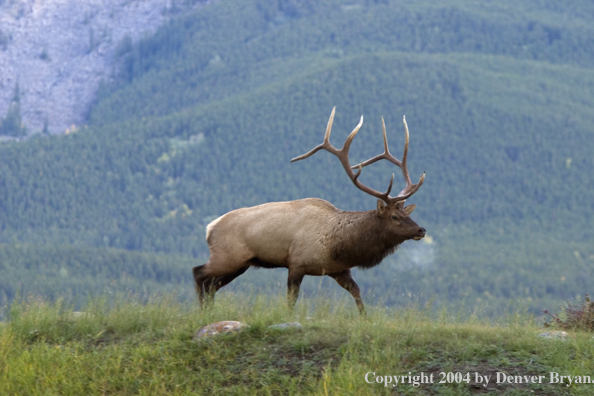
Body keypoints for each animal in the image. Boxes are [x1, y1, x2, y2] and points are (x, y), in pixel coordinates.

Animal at [194, 106, 426, 314]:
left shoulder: (339, 269)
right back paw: (202, 310)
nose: (421, 230)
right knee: (199, 273)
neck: (338, 245)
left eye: (408, 214)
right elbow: (291, 300)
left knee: (212, 285)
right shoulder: (297, 263)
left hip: (240, 263)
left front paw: (365, 320)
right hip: (227, 256)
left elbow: (357, 293)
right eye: (395, 216)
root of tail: (209, 228)